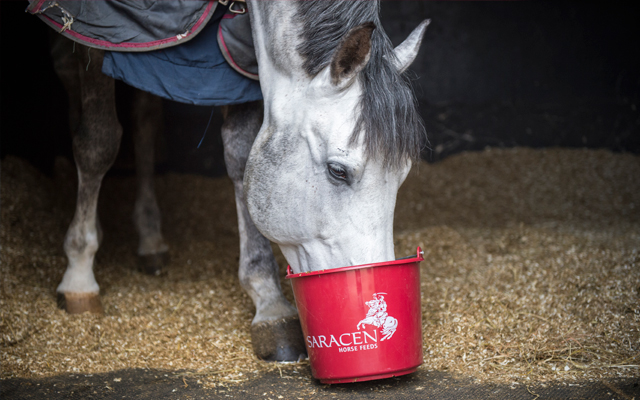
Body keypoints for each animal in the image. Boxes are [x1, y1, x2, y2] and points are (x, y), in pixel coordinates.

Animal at [43, 0, 428, 362]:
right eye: (338, 170)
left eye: (402, 174)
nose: (372, 286)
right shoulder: (99, 35)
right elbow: (98, 143)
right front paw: (79, 274)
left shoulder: (236, 60)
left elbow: (241, 153)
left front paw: (269, 301)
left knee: (145, 116)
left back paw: (150, 238)